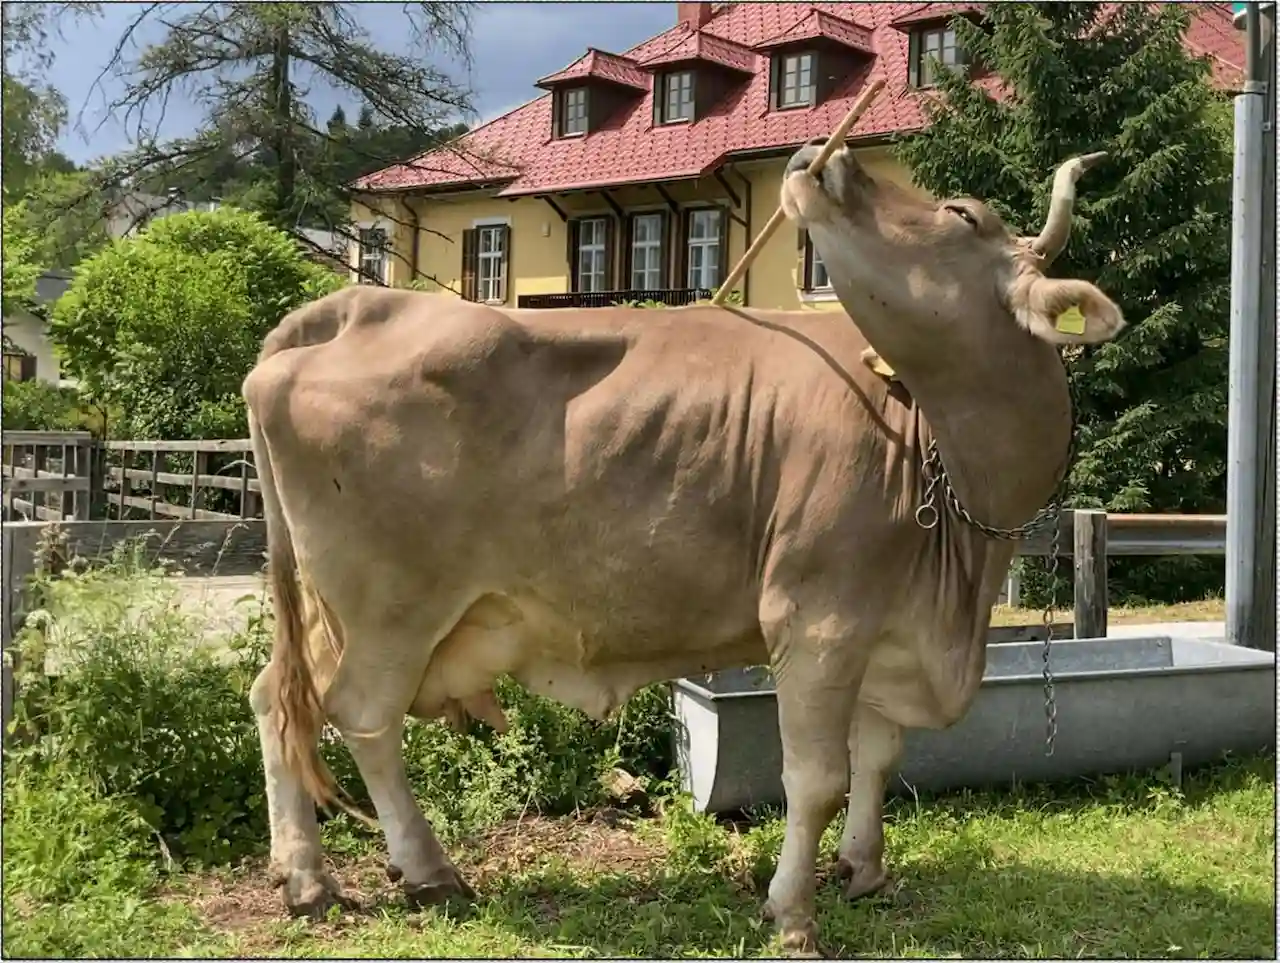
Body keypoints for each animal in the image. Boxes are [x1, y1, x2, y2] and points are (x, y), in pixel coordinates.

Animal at [241, 143, 1124, 955]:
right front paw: (792, 912)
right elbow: (816, 778)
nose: (826, 155)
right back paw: (426, 869)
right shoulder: (818, 616)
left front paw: (863, 869)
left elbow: (877, 753)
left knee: (276, 700)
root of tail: (356, 304)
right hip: (391, 606)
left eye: (960, 215)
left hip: (329, 608)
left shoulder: (889, 624)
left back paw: (306, 876)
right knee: (362, 717)